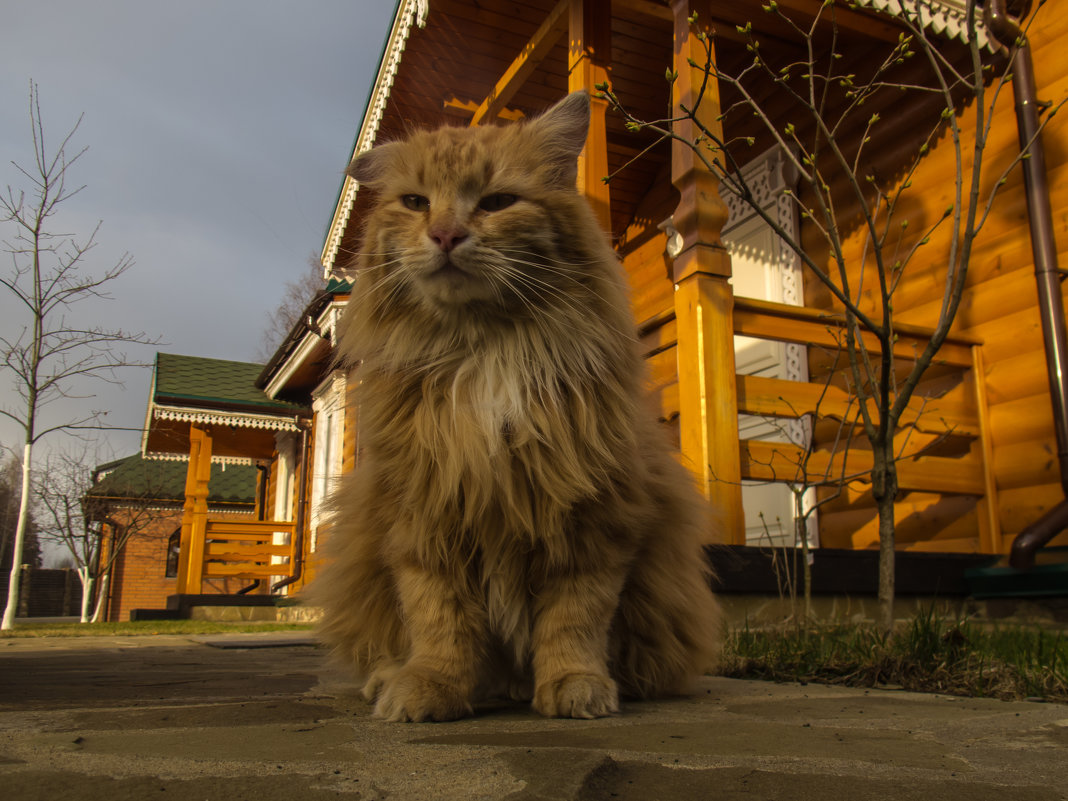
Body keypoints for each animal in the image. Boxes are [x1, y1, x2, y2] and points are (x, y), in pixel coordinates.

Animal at [316, 90, 717, 726]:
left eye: (497, 202)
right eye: (415, 203)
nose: (445, 234)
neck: (483, 350)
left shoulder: (592, 521)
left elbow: (574, 620)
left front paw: (575, 685)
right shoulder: (424, 517)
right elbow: (438, 619)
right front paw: (430, 687)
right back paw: (395, 679)